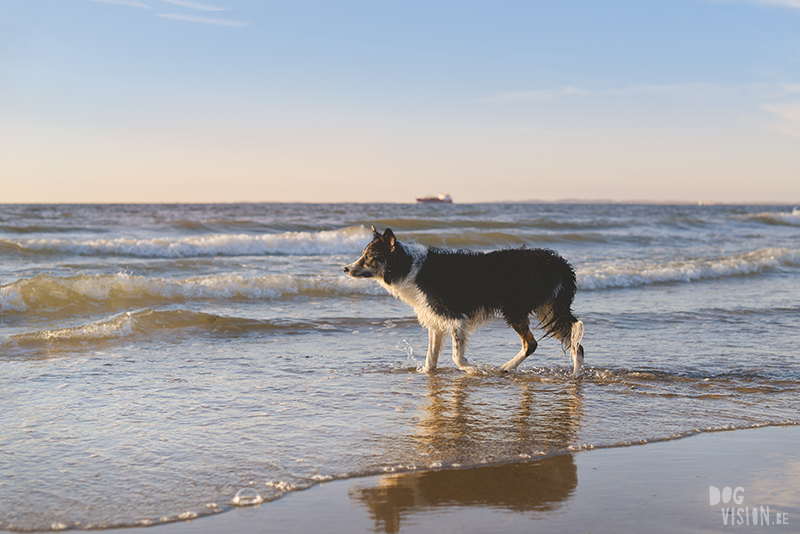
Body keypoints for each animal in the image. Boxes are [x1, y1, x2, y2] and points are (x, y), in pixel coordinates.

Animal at [340, 228, 584, 374]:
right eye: (363, 255)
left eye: (369, 257)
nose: (345, 269)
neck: (409, 268)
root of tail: (559, 263)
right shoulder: (435, 321)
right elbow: (430, 359)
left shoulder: (455, 319)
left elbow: (457, 356)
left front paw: (473, 370)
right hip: (548, 309)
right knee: (575, 343)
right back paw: (575, 375)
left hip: (515, 309)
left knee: (532, 343)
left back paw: (505, 368)